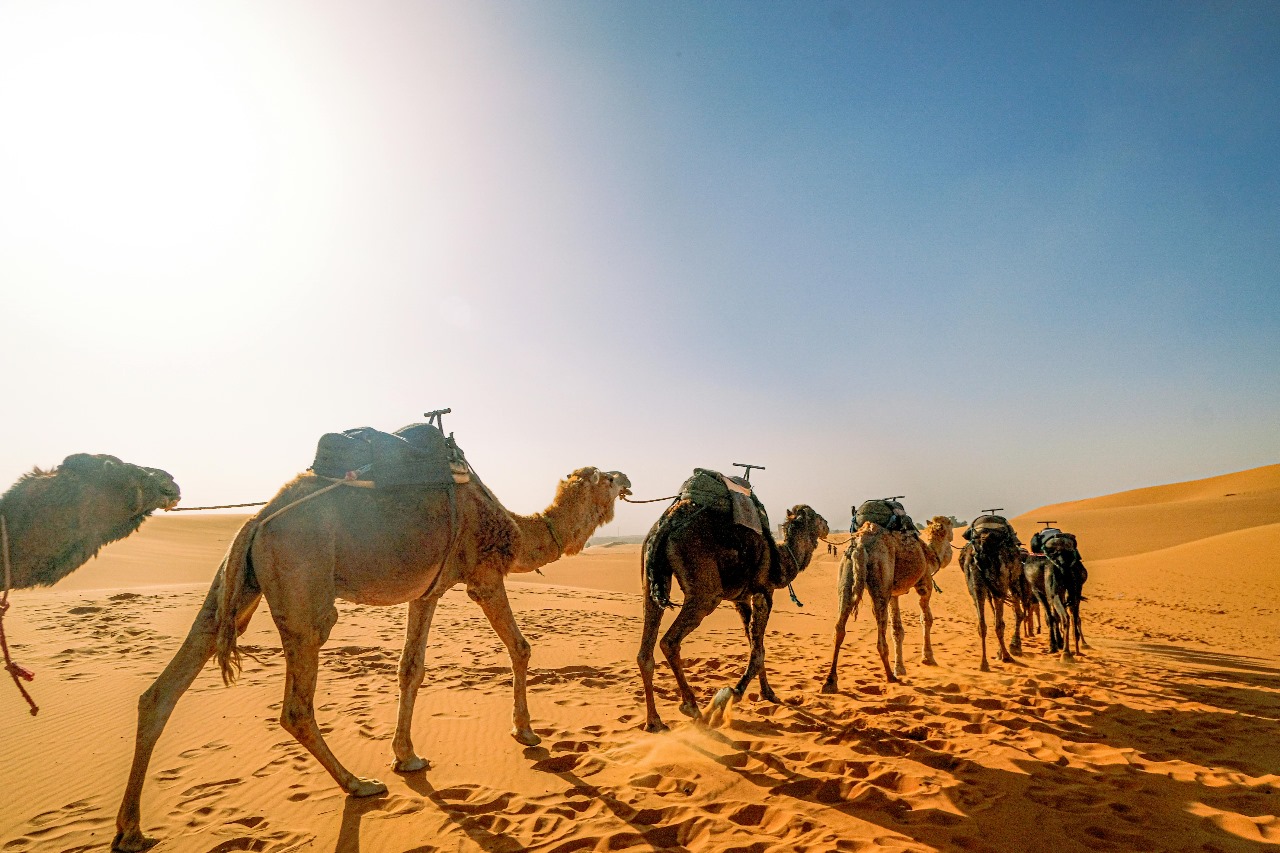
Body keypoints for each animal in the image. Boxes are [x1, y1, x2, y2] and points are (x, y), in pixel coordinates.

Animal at [114, 463, 630, 852]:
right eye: (605, 477)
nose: (627, 479)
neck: (514, 528)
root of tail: (257, 520)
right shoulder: (482, 575)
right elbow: (521, 648)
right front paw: (525, 731)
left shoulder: (428, 590)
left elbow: (411, 668)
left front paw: (407, 755)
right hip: (304, 587)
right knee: (296, 704)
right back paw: (358, 784)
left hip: (235, 584)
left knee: (164, 687)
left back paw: (130, 829)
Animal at [638, 503, 828, 733]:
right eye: (816, 516)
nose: (827, 525)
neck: (781, 560)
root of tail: (665, 526)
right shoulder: (764, 592)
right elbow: (758, 651)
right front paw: (733, 693)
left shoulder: (742, 599)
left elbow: (755, 644)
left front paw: (768, 692)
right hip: (706, 592)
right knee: (669, 641)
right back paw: (691, 706)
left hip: (651, 580)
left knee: (645, 651)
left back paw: (654, 721)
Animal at [821, 515, 955, 689]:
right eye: (950, 526)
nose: (953, 537)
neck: (929, 553)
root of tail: (861, 544)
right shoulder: (925, 583)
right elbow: (926, 619)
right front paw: (928, 658)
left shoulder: (894, 595)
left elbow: (897, 630)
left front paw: (901, 668)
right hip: (881, 574)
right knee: (880, 633)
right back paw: (890, 676)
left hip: (846, 570)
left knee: (839, 627)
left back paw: (830, 681)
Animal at [959, 517, 1027, 671]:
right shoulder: (1011, 582)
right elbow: (1017, 615)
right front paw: (1014, 647)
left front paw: (1002, 651)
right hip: (1001, 583)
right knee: (1000, 623)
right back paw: (1007, 656)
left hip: (976, 585)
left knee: (982, 624)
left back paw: (983, 663)